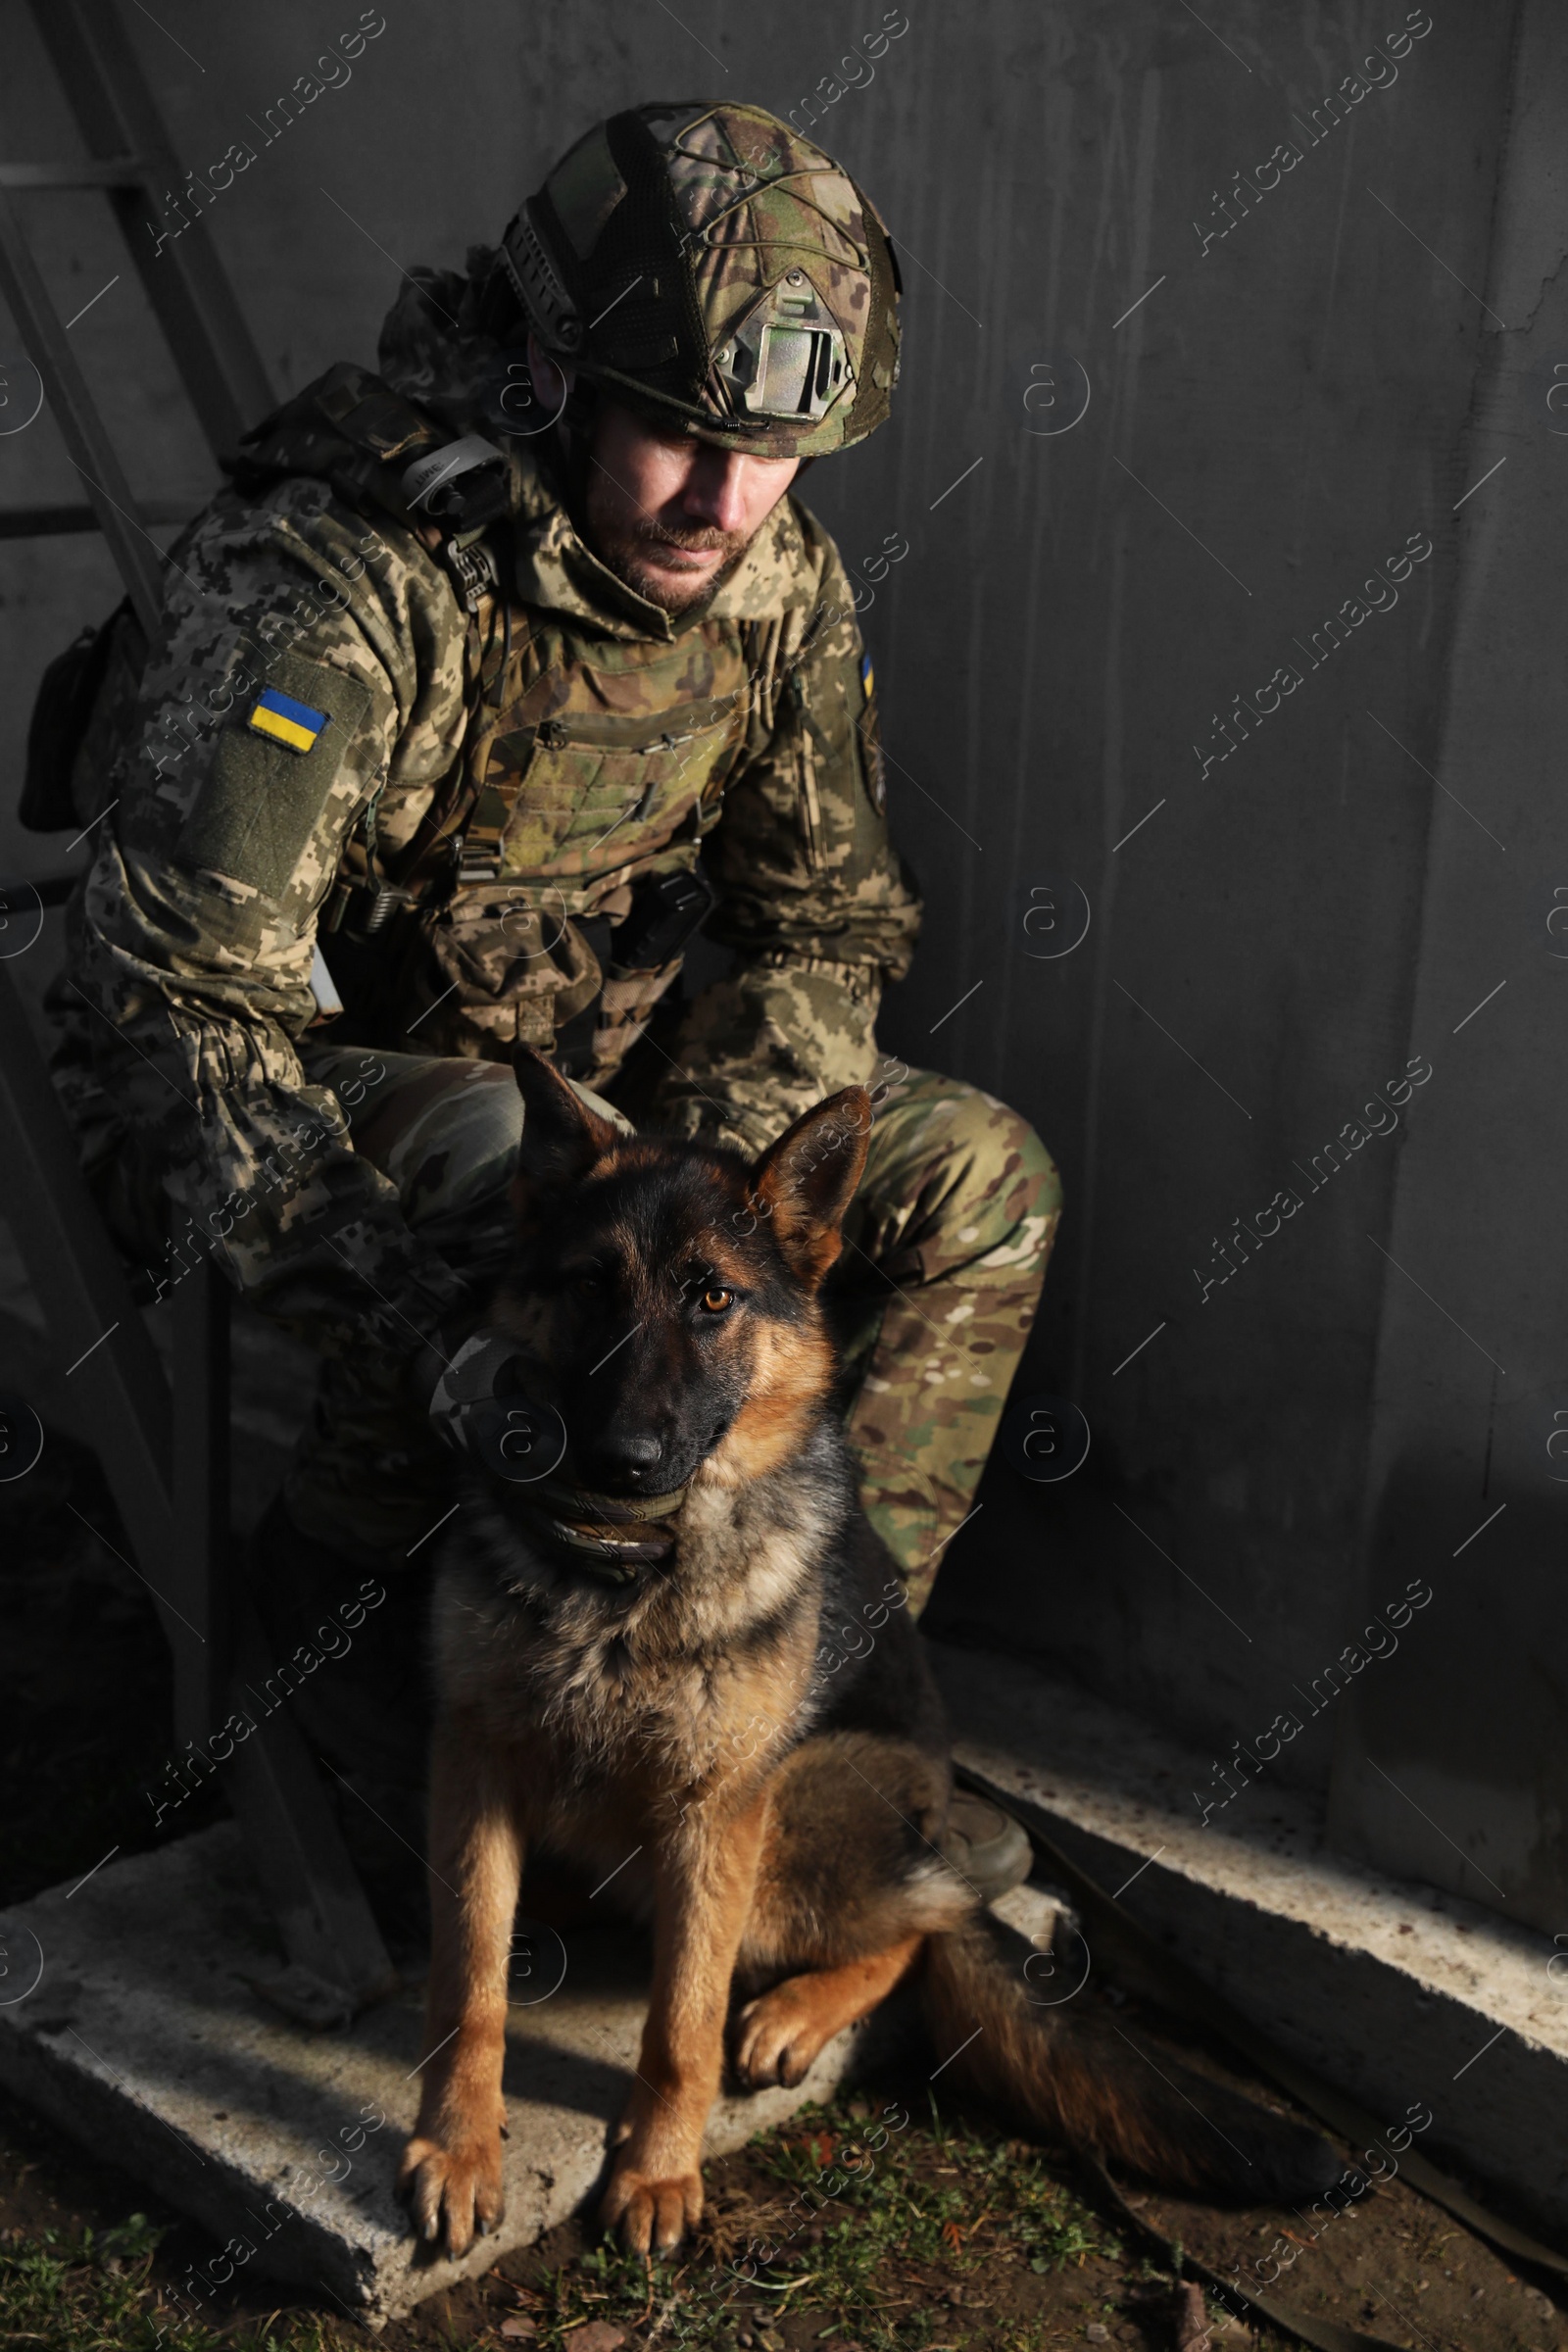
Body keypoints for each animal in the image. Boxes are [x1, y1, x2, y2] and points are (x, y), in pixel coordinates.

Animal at [394, 1054, 1335, 2258]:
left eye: (712, 1298)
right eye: (592, 1286)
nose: (621, 1462)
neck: (621, 1580)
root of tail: (930, 1819)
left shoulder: (717, 1813)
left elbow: (682, 2022)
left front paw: (657, 2172)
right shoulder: (473, 1765)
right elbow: (467, 1982)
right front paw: (459, 2146)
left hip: (788, 1817)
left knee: (917, 1928)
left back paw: (800, 2009)